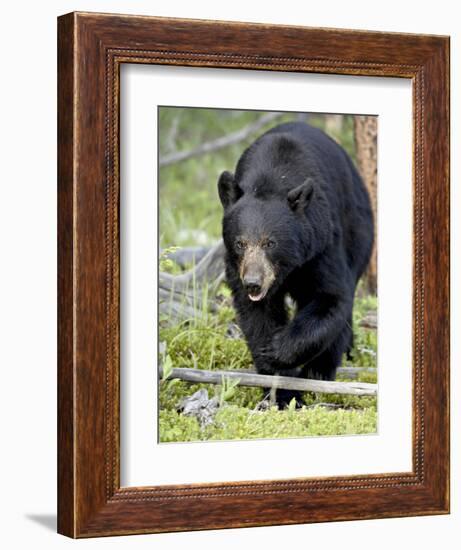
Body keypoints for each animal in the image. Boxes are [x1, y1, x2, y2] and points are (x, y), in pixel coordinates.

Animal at [217, 121, 372, 408]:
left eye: (270, 242)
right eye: (240, 242)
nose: (253, 283)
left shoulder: (321, 244)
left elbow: (331, 297)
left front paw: (278, 350)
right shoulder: (236, 267)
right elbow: (257, 315)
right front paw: (280, 390)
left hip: (359, 231)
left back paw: (322, 371)